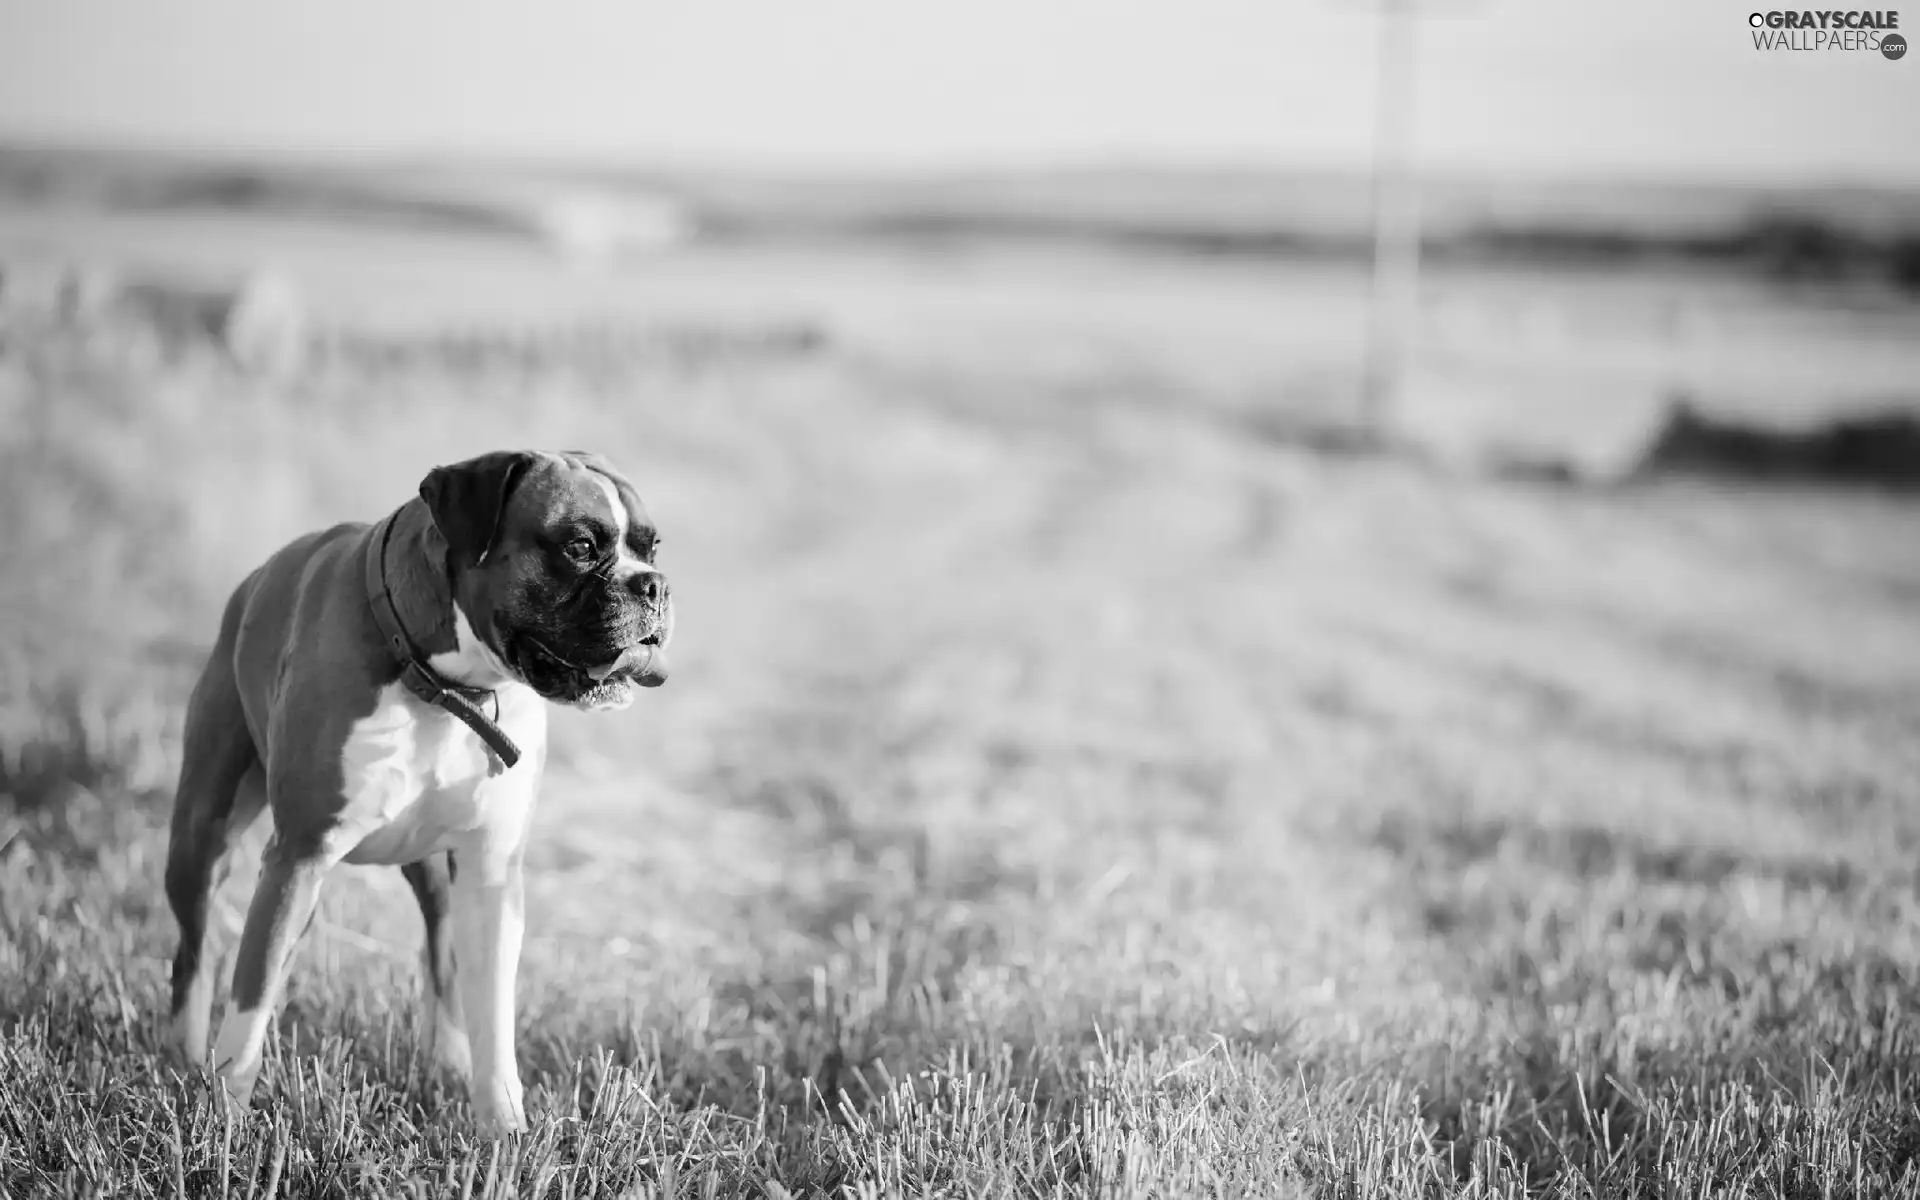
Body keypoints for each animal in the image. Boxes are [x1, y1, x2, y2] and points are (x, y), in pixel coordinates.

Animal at [167, 449, 675, 1128]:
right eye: (579, 545)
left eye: (652, 546)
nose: (655, 584)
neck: (446, 688)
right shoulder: (298, 857)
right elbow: (249, 1007)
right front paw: (221, 1122)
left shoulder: (491, 876)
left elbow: (493, 1016)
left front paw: (504, 1132)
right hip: (203, 840)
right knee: (194, 957)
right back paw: (184, 1058)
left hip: (434, 872)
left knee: (440, 957)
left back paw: (447, 1062)